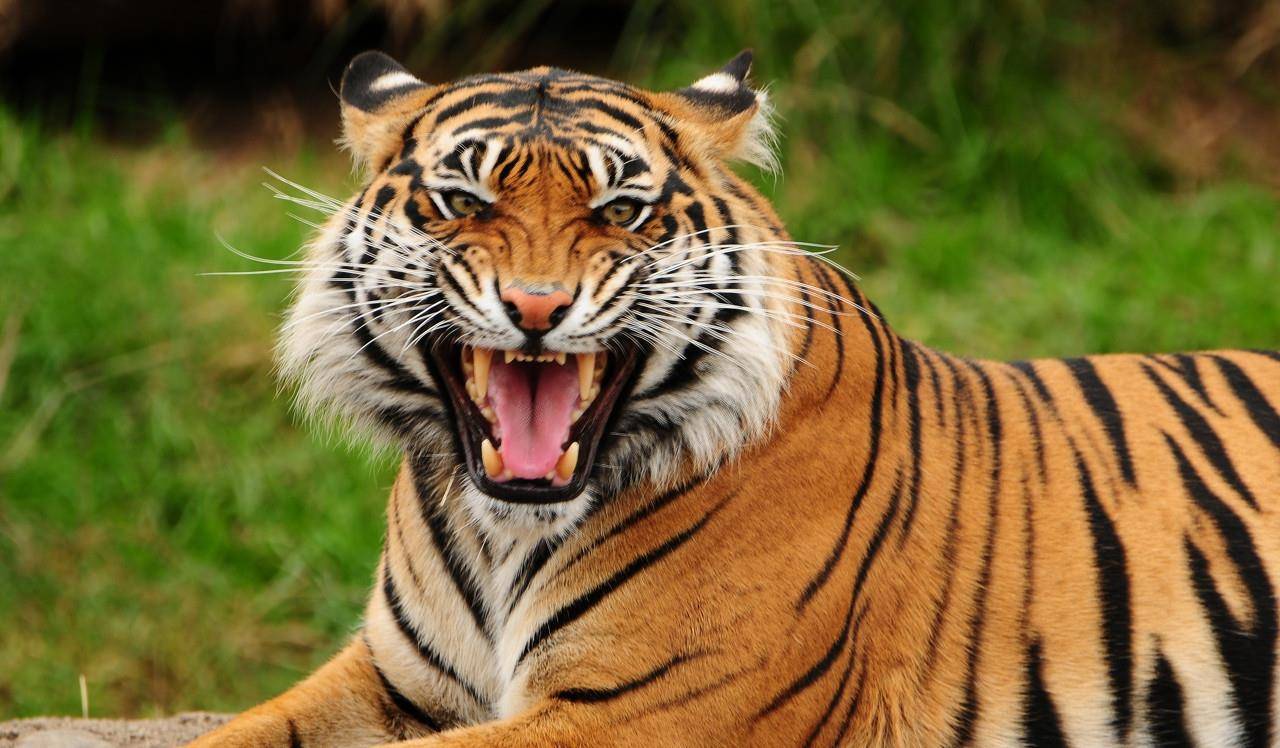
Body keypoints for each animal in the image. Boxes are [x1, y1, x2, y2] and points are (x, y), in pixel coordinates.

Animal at [191, 49, 1280, 747]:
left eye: (620, 210)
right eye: (464, 202)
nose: (535, 307)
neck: (499, 533)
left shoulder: (646, 710)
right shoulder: (393, 677)